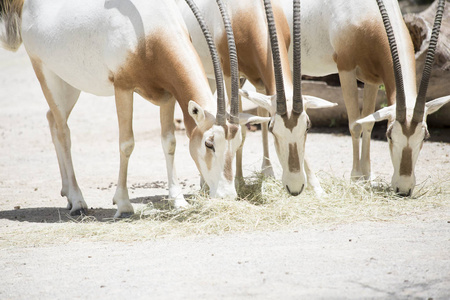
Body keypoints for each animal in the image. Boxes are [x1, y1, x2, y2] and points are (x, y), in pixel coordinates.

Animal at [0, 0, 253, 217]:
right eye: (209, 144)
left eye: (237, 143)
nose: (228, 196)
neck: (149, 32)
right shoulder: (122, 87)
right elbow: (126, 143)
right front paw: (123, 205)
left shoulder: (167, 94)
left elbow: (169, 142)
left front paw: (178, 200)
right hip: (45, 72)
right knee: (63, 131)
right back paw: (78, 201)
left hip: (69, 83)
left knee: (52, 118)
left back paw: (68, 195)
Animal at [178, 0, 336, 197]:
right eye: (274, 130)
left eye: (308, 126)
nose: (294, 188)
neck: (249, 10)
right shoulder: (230, 73)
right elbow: (244, 129)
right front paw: (239, 181)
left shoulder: (266, 79)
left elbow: (261, 121)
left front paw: (315, 187)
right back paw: (206, 184)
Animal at [280, 0, 448, 195]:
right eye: (390, 136)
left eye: (425, 136)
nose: (404, 189)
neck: (367, 14)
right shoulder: (345, 68)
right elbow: (355, 124)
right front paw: (355, 176)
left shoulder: (372, 78)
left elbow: (368, 123)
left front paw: (367, 176)